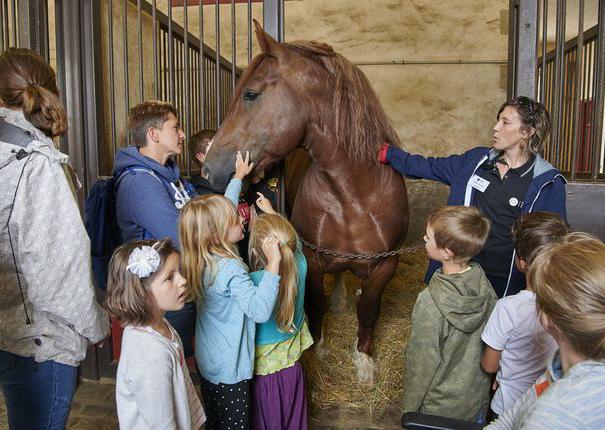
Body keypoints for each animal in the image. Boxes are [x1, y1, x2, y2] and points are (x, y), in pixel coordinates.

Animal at [205, 20, 408, 384]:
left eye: (251, 94)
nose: (209, 168)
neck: (355, 194)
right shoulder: (312, 258)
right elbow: (316, 303)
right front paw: (320, 349)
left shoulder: (386, 265)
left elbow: (369, 309)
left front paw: (364, 361)